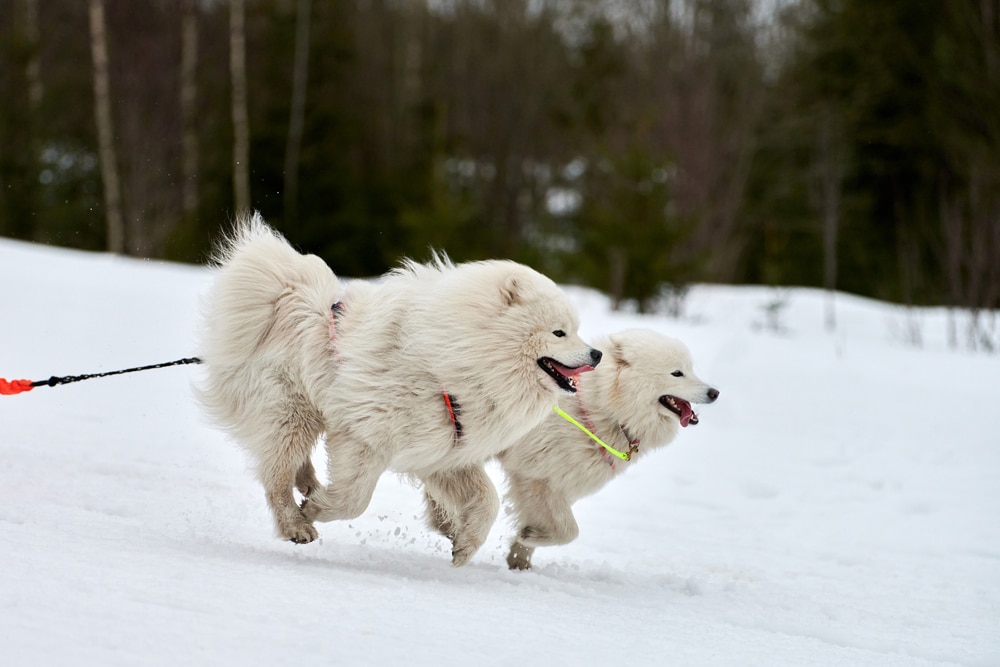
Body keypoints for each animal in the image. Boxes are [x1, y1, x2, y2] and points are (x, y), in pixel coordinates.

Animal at [196, 213, 600, 564]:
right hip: (292, 413)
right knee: (275, 476)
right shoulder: (365, 436)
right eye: (559, 332)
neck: (455, 358)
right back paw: (296, 524)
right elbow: (354, 500)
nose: (596, 354)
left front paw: (464, 545)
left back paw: (308, 484)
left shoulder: (445, 449)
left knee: (289, 464)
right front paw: (317, 510)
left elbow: (488, 500)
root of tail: (288, 297)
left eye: (575, 330)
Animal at [494, 328, 716, 568]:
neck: (603, 407)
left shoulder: (558, 483)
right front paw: (528, 536)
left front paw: (519, 559)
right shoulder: (534, 476)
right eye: (677, 373)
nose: (715, 393)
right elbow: (570, 531)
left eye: (690, 369)